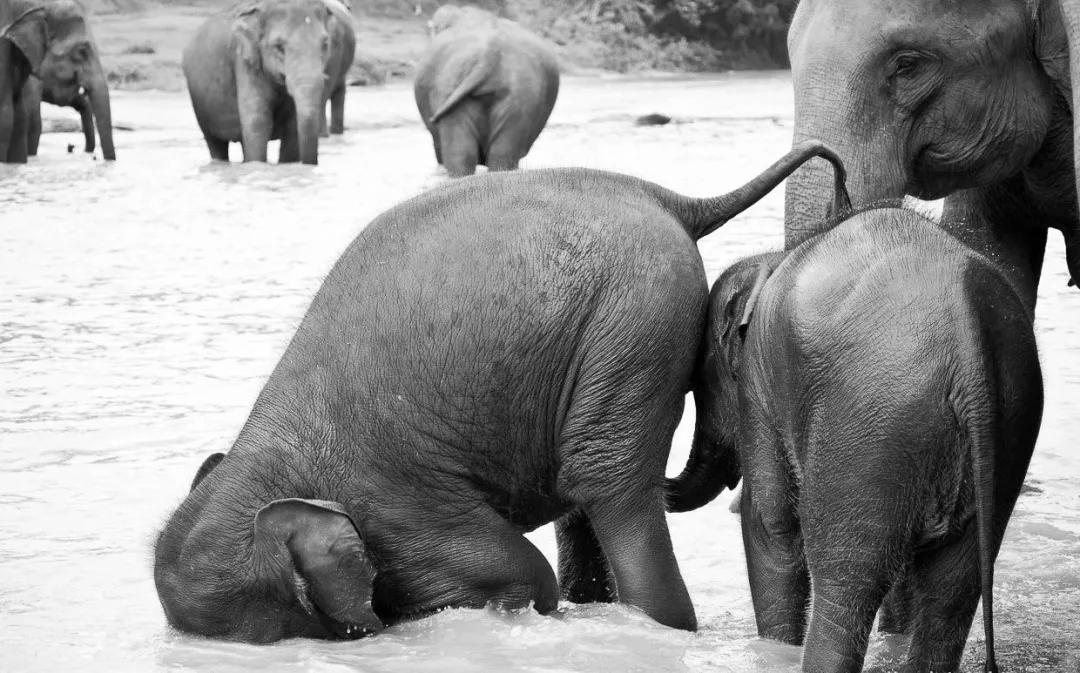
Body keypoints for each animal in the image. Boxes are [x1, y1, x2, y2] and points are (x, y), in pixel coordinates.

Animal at [153, 141, 848, 643]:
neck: (262, 467)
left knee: (608, 483)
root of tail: (668, 198)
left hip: (634, 314)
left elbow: (518, 575)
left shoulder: (397, 501)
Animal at [182, 0, 338, 165]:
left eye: (325, 44)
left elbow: (292, 127)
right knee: (216, 145)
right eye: (279, 46)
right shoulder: (245, 63)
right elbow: (257, 122)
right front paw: (256, 165)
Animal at [667, 206, 1046, 672]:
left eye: (699, 381)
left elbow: (770, 519)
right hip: (1007, 420)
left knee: (844, 588)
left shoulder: (758, 381)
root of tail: (966, 325)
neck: (772, 259)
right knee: (953, 590)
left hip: (870, 434)